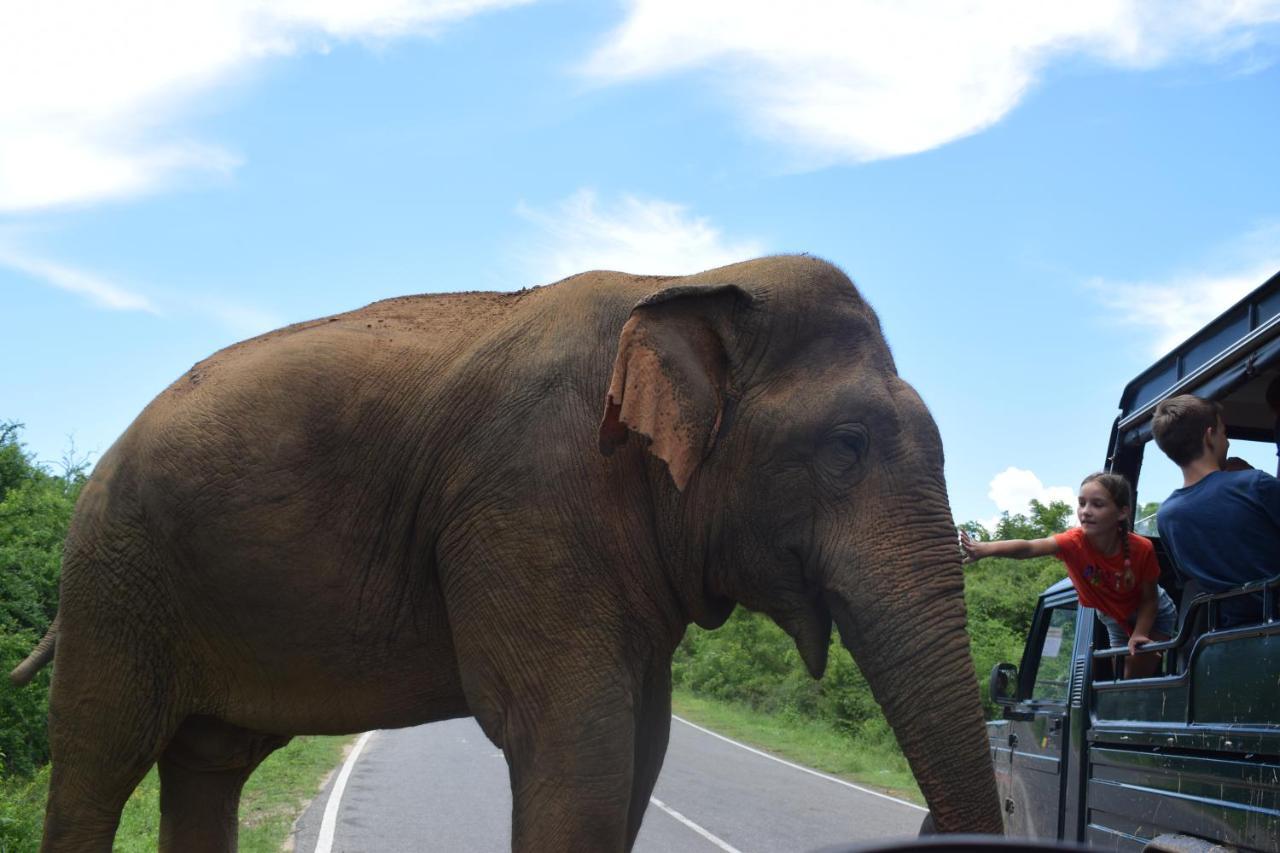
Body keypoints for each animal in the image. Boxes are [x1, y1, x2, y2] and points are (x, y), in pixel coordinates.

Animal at [15, 253, 1003, 850]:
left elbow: (639, 748)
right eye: (846, 446)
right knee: (97, 761)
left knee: (207, 764)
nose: (927, 826)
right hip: (116, 578)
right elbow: (578, 744)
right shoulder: (531, 494)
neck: (686, 279)